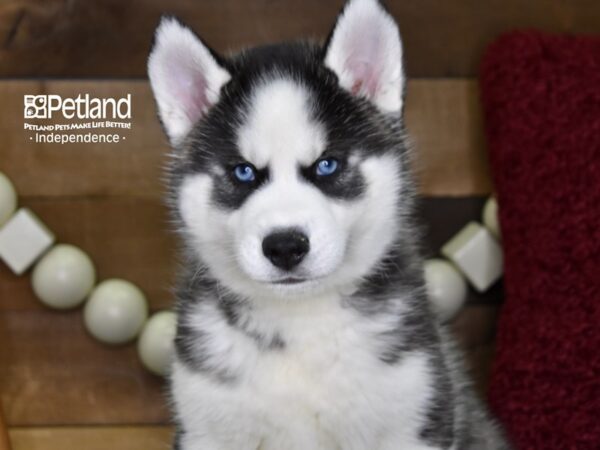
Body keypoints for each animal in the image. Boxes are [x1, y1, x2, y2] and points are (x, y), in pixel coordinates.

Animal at [148, 0, 508, 450]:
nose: (285, 246)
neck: (302, 323)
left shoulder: (411, 412)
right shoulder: (207, 426)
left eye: (327, 165)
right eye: (243, 172)